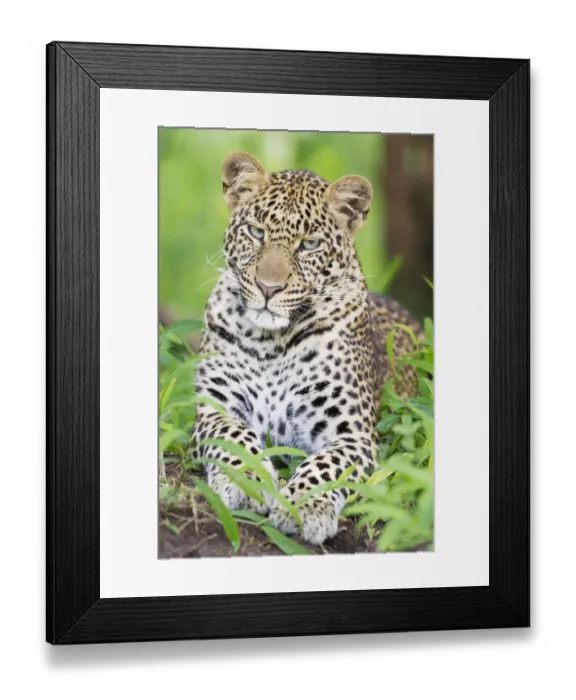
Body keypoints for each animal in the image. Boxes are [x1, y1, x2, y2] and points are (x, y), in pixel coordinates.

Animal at [192, 151, 423, 546]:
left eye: (309, 245)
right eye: (256, 232)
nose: (268, 288)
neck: (270, 343)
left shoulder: (352, 435)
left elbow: (324, 467)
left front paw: (303, 506)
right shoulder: (215, 407)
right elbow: (234, 437)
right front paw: (248, 480)